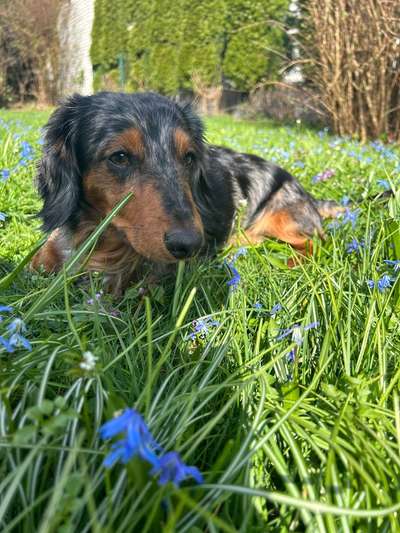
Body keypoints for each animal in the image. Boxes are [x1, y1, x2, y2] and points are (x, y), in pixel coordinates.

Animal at [31, 90, 340, 290]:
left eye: (189, 157)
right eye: (119, 157)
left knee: (316, 243)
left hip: (284, 221)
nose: (190, 245)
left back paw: (291, 261)